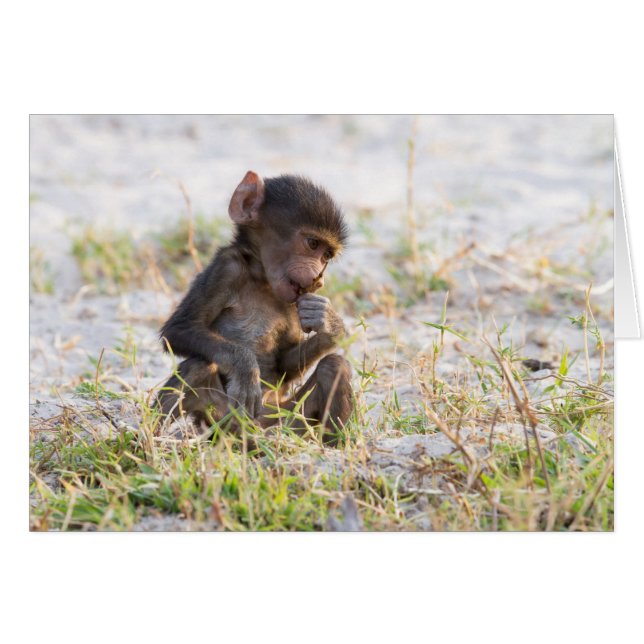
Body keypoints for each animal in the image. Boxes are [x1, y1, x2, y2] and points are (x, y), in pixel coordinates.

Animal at [156, 170, 353, 441]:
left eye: (326, 256)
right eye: (313, 244)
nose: (318, 280)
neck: (262, 281)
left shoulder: (292, 302)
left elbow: (285, 363)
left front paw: (329, 323)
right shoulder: (227, 267)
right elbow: (178, 329)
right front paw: (246, 368)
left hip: (286, 418)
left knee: (334, 366)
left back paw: (331, 445)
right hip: (221, 419)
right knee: (196, 366)